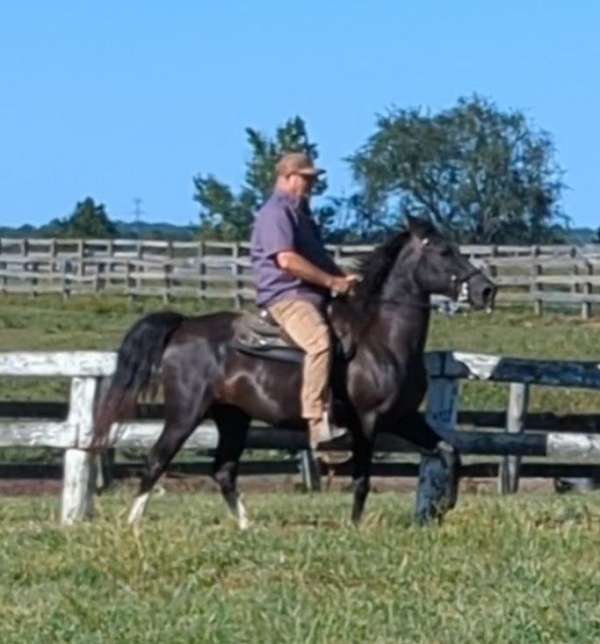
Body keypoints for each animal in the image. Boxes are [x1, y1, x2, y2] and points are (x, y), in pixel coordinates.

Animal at [92, 216, 496, 527]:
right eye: (443, 252)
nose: (486, 290)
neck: (381, 339)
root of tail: (183, 326)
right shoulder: (368, 422)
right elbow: (362, 479)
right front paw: (354, 526)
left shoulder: (404, 418)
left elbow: (449, 452)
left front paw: (442, 507)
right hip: (185, 413)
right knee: (156, 460)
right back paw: (133, 524)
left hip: (233, 417)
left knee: (223, 471)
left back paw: (247, 526)